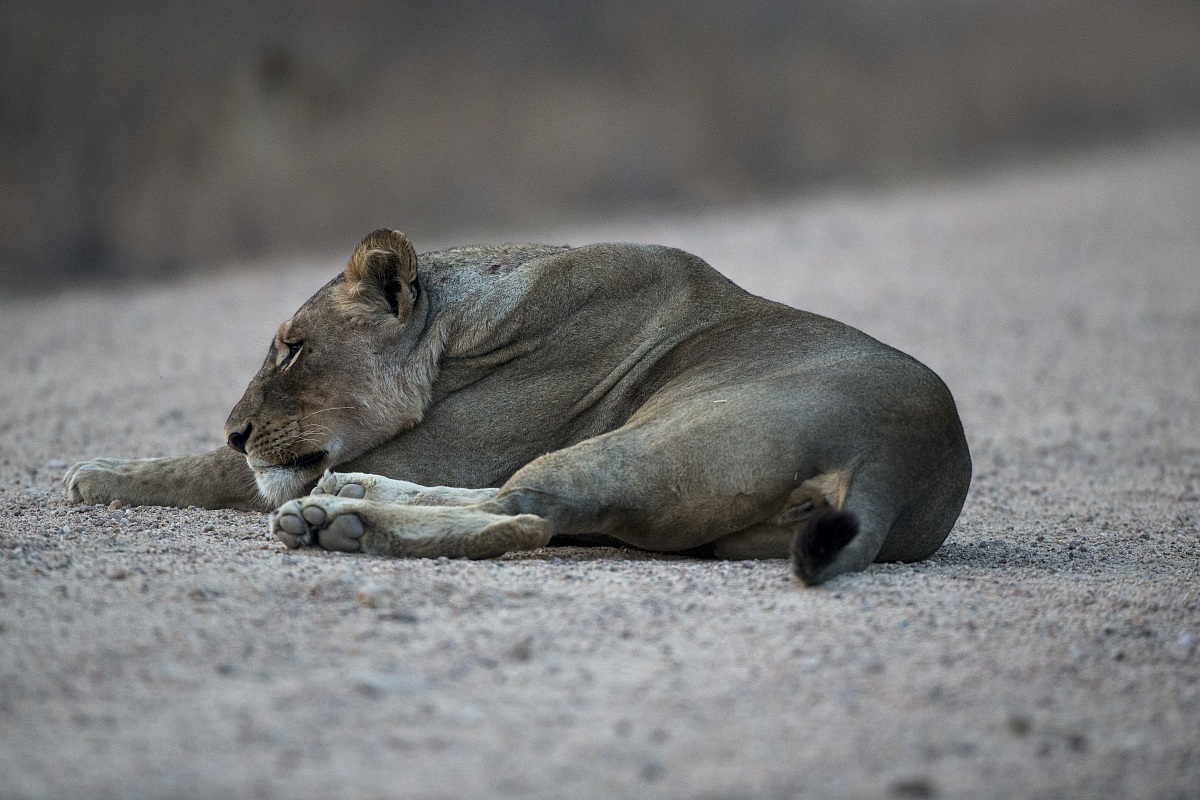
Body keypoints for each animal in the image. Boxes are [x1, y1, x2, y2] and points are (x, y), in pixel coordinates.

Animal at [66, 229, 971, 584]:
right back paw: (348, 500)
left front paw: (98, 470)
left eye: (293, 348)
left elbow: (214, 473)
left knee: (524, 515)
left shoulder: (437, 445)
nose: (238, 429)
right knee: (523, 505)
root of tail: (902, 463)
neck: (458, 332)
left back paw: (338, 523)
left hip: (661, 437)